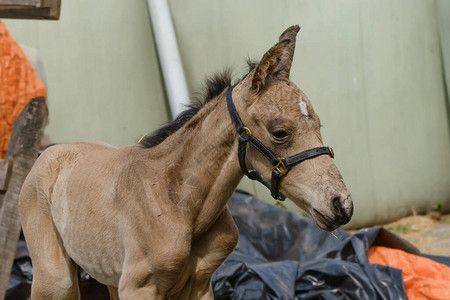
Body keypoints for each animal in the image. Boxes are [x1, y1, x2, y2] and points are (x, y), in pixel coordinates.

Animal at [20, 25, 352, 300]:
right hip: (55, 280)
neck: (178, 201)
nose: (341, 205)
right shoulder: (139, 289)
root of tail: (47, 153)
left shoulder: (200, 284)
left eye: (318, 124)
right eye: (280, 132)